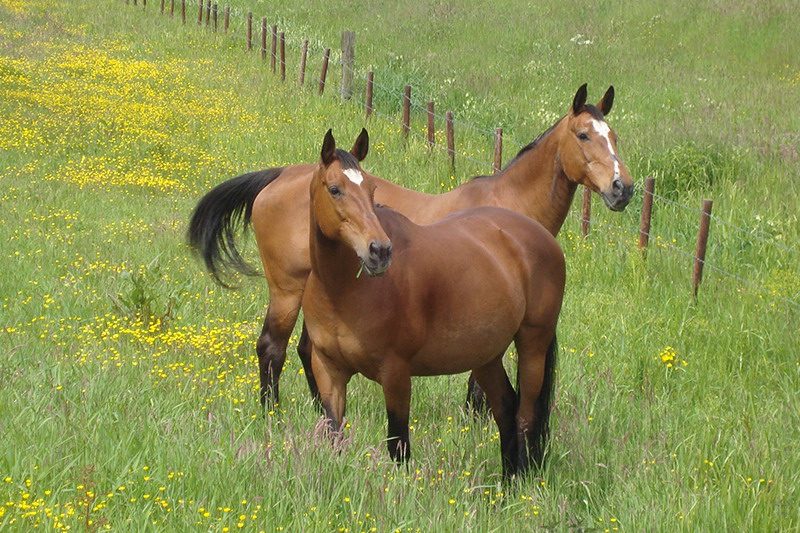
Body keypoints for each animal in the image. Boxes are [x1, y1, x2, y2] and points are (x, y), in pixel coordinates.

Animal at [188, 84, 632, 408]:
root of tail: (279, 176)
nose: (623, 188)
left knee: (304, 351)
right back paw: (273, 417)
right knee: (272, 348)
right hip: (287, 289)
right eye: (583, 135)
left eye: (615, 137)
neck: (508, 208)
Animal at [302, 130, 568, 478]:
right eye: (335, 190)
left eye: (372, 189)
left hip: (533, 345)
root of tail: (540, 236)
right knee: (506, 410)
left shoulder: (396, 375)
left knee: (525, 416)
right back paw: (506, 483)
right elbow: (335, 436)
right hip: (486, 357)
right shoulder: (328, 371)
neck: (342, 291)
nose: (380, 251)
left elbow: (398, 446)